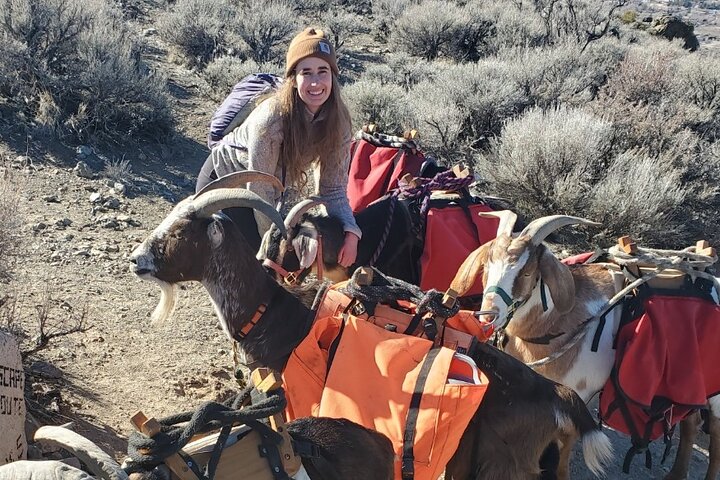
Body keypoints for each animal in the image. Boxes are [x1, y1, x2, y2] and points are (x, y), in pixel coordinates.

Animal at [451, 210, 720, 480]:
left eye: (526, 273)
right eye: (487, 267)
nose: (488, 316)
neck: (556, 325)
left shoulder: (577, 392)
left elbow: (565, 445)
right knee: (691, 421)